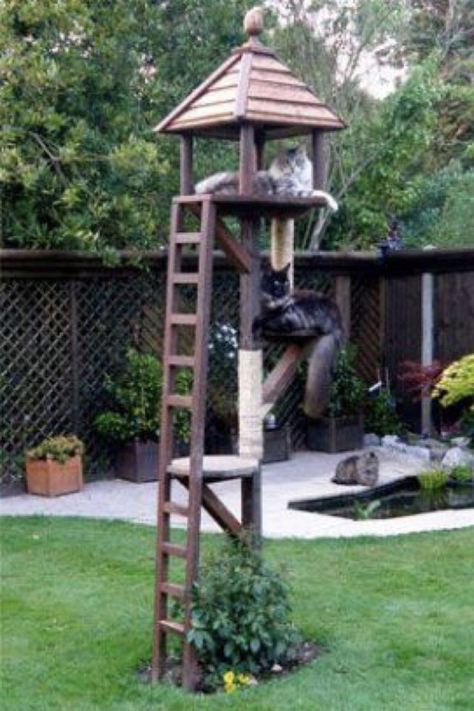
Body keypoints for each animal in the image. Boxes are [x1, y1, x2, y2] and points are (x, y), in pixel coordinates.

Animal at [194, 145, 338, 211]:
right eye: (286, 162)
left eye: (297, 162)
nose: (292, 169)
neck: (297, 179)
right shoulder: (289, 192)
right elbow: (319, 192)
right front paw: (334, 204)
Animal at [252, 262, 344, 420]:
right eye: (276, 283)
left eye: (286, 282)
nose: (284, 291)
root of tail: (337, 321)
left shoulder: (288, 318)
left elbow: (264, 321)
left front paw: (257, 328)